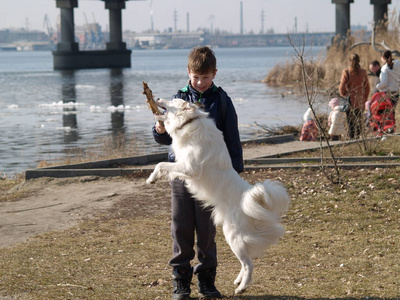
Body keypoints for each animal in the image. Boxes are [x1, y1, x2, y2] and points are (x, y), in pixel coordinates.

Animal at [145, 98, 290, 292]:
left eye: (173, 101)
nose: (159, 98)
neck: (188, 122)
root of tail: (248, 197)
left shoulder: (190, 167)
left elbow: (161, 164)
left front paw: (151, 178)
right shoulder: (183, 166)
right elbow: (167, 168)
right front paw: (157, 178)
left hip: (233, 236)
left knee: (249, 264)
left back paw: (241, 287)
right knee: (246, 261)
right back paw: (238, 281)